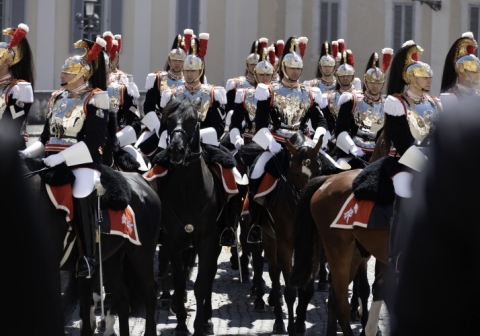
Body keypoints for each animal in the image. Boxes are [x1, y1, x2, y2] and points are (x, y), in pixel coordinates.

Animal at [149, 98, 226, 334]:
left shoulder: (207, 240)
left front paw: (200, 324)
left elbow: (201, 284)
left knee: (209, 277)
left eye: (193, 120)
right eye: (169, 120)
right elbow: (180, 280)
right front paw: (182, 324)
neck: (188, 192)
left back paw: (208, 318)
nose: (176, 150)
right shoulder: (173, 241)